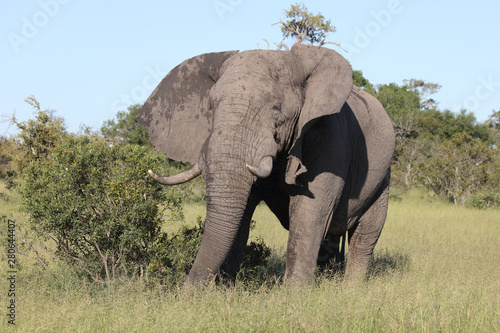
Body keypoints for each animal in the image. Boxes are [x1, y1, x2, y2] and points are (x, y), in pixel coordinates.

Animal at [137, 43, 394, 286]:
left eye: (277, 110)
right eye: (211, 107)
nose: (185, 293)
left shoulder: (332, 137)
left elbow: (309, 213)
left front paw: (294, 296)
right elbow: (241, 217)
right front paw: (224, 292)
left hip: (383, 178)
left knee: (365, 235)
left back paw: (350, 289)